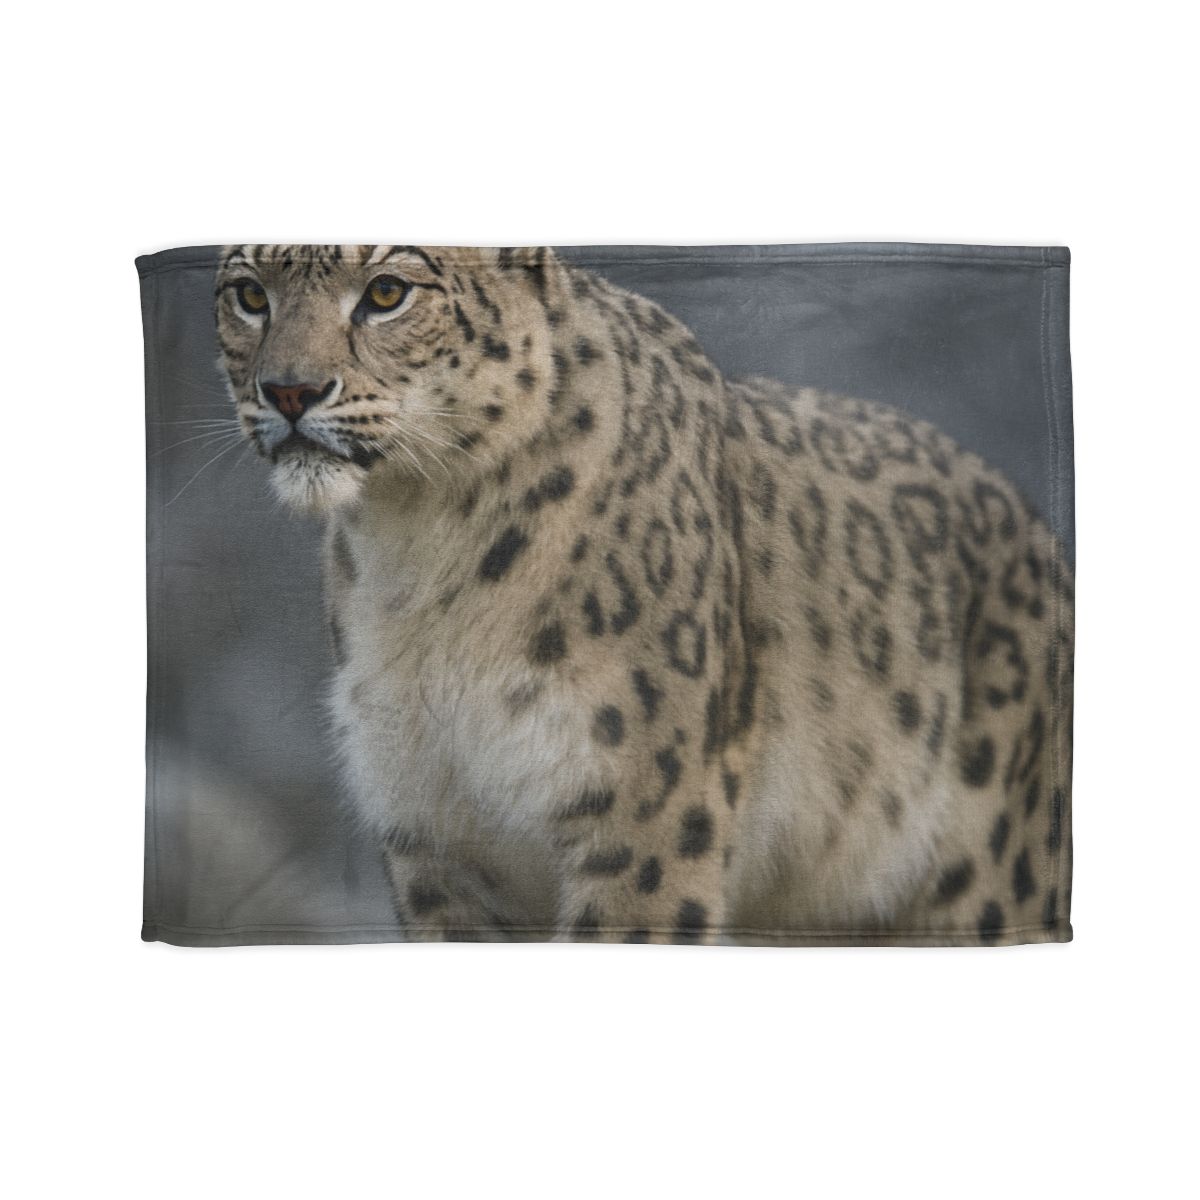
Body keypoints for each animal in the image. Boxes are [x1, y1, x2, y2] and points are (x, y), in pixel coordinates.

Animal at [214, 243, 1074, 945]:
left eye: (387, 290)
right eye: (250, 293)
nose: (288, 391)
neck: (416, 554)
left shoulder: (644, 817)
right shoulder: (432, 837)